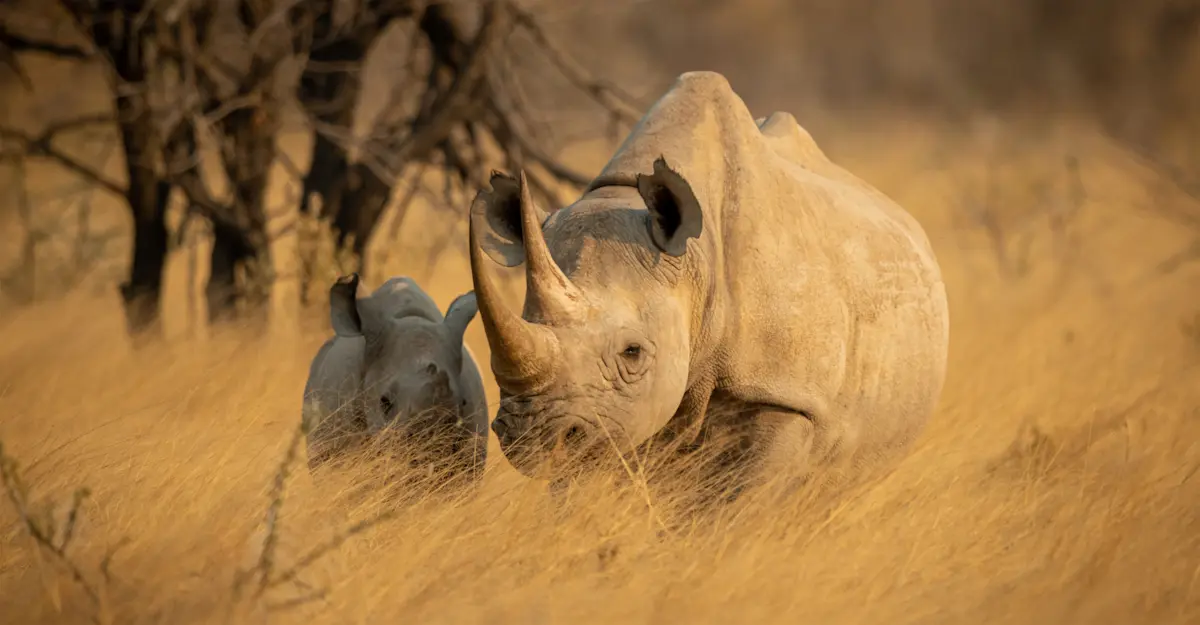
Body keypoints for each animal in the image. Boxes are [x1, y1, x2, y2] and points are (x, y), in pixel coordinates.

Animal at [466, 71, 950, 498]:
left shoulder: (784, 395)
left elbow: (739, 510)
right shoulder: (607, 418)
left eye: (632, 353)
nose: (530, 438)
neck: (696, 263)